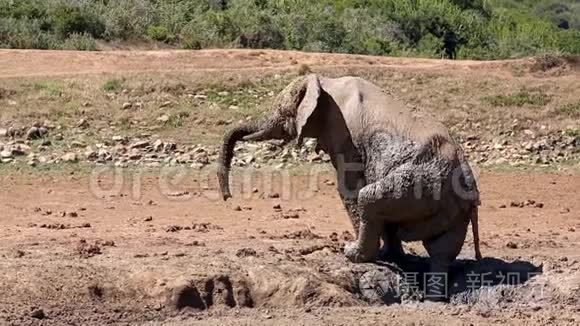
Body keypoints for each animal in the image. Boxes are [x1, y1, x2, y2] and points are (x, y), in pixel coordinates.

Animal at [216, 75, 480, 300]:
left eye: (281, 111)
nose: (228, 198)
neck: (325, 81)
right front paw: (391, 257)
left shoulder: (342, 133)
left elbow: (348, 187)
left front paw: (365, 254)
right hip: (445, 198)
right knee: (441, 249)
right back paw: (431, 294)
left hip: (421, 184)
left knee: (369, 198)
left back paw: (354, 254)